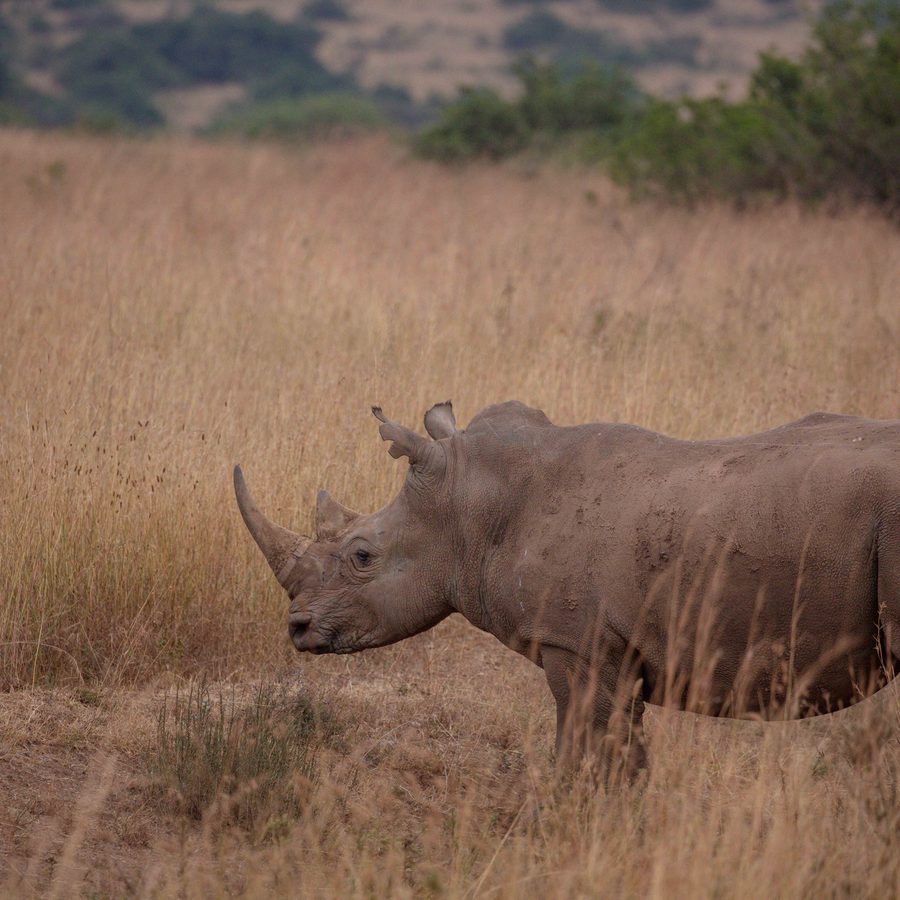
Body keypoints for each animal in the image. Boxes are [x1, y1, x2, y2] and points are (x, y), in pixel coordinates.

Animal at [234, 401, 900, 771]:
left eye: (362, 556)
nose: (297, 627)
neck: (468, 505)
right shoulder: (613, 652)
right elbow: (622, 757)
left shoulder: (577, 644)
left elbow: (585, 754)